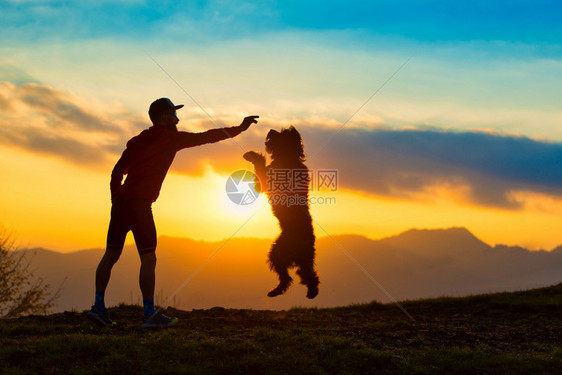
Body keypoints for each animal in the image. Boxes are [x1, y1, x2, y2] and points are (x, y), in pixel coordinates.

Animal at [242, 126, 318, 300]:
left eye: (282, 133)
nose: (271, 129)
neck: (288, 156)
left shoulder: (268, 180)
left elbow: (261, 169)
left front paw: (253, 155)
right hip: (288, 255)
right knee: (301, 274)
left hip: (281, 251)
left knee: (295, 275)